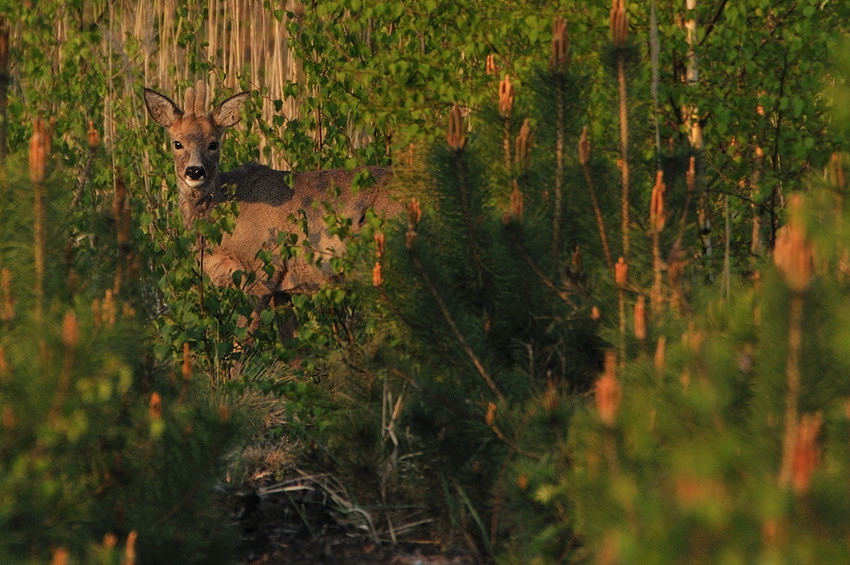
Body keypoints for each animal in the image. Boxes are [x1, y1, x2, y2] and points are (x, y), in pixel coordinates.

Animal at [142, 81, 398, 338]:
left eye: (213, 144)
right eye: (177, 143)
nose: (195, 171)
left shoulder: (261, 275)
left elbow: (241, 339)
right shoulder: (282, 290)